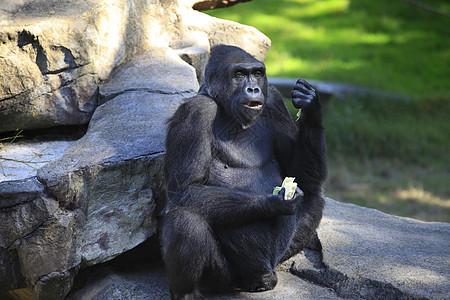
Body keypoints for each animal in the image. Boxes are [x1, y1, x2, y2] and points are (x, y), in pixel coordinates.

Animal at [162, 44, 326, 300]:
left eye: (257, 73)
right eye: (239, 74)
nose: (253, 88)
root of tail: (263, 276)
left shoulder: (274, 102)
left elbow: (303, 179)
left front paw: (310, 104)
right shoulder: (195, 112)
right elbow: (187, 190)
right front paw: (272, 203)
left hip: (274, 262)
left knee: (314, 197)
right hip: (226, 279)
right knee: (185, 218)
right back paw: (188, 293)